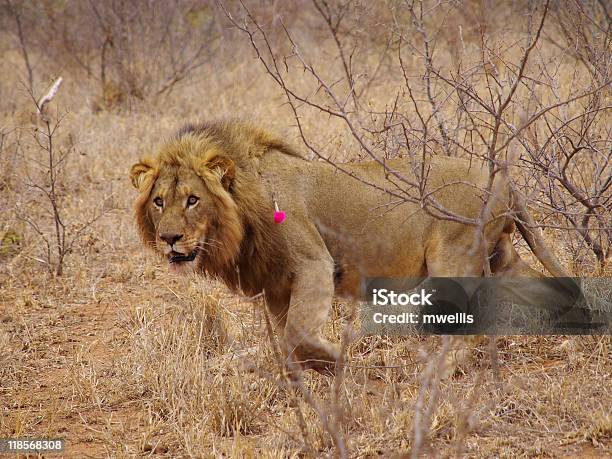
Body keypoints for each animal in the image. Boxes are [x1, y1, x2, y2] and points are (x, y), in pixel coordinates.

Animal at [129, 119, 568, 374]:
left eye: (192, 200)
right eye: (159, 202)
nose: (169, 238)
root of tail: (503, 176)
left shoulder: (313, 263)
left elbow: (297, 332)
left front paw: (333, 361)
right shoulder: (275, 283)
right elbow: (287, 336)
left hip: (454, 257)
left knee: (469, 327)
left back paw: (439, 369)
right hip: (501, 256)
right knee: (545, 289)